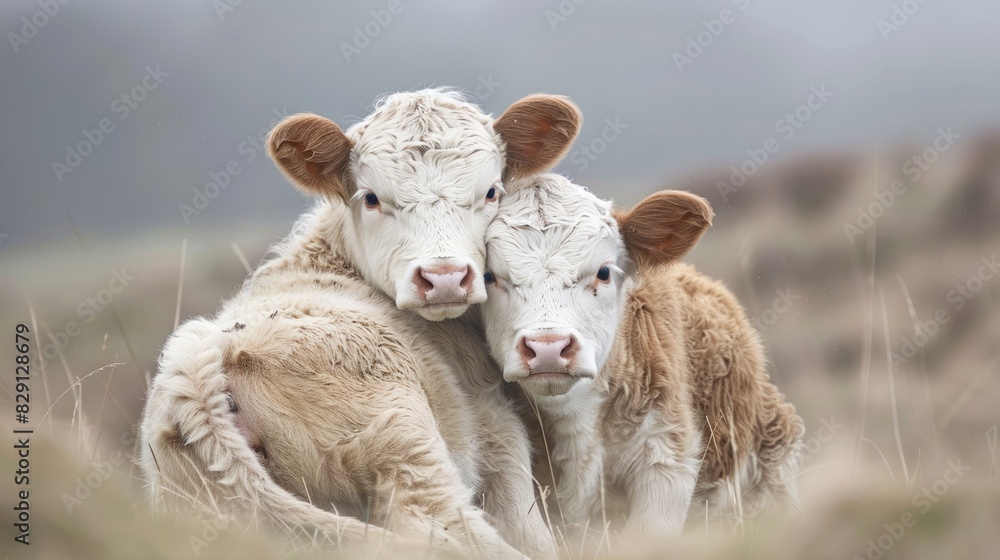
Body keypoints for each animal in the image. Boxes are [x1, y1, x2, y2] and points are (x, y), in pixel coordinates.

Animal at [138, 90, 582, 559]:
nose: (444, 277)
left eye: (492, 191)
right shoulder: (500, 437)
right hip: (401, 439)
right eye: (371, 198)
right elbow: (532, 532)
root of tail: (198, 362)